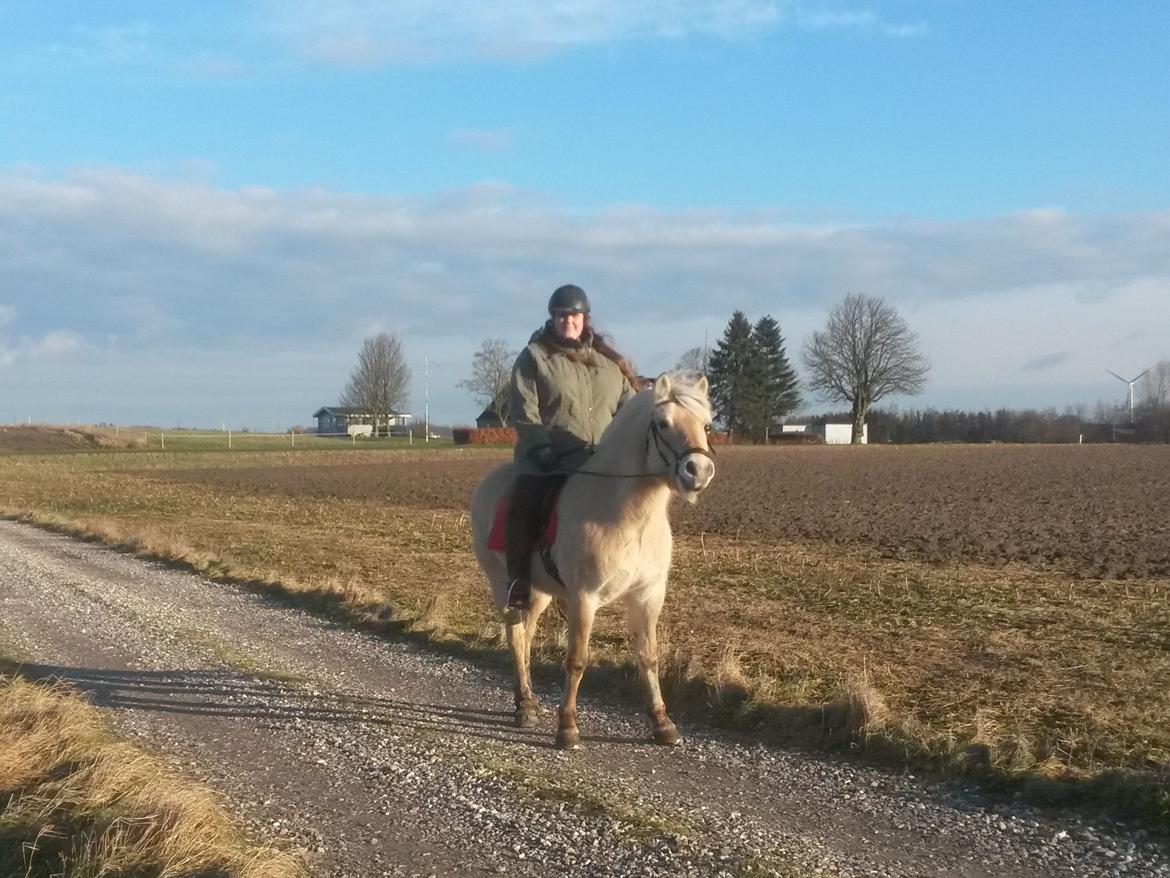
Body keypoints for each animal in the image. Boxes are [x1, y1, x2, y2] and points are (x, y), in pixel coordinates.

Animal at [467, 372, 711, 749]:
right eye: (663, 423)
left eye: (707, 425)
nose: (698, 471)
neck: (628, 517)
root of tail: (488, 483)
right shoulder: (584, 598)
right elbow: (577, 660)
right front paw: (567, 727)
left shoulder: (648, 596)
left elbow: (649, 657)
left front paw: (662, 723)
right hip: (502, 584)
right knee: (515, 636)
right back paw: (523, 705)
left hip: (538, 592)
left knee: (527, 633)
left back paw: (531, 700)